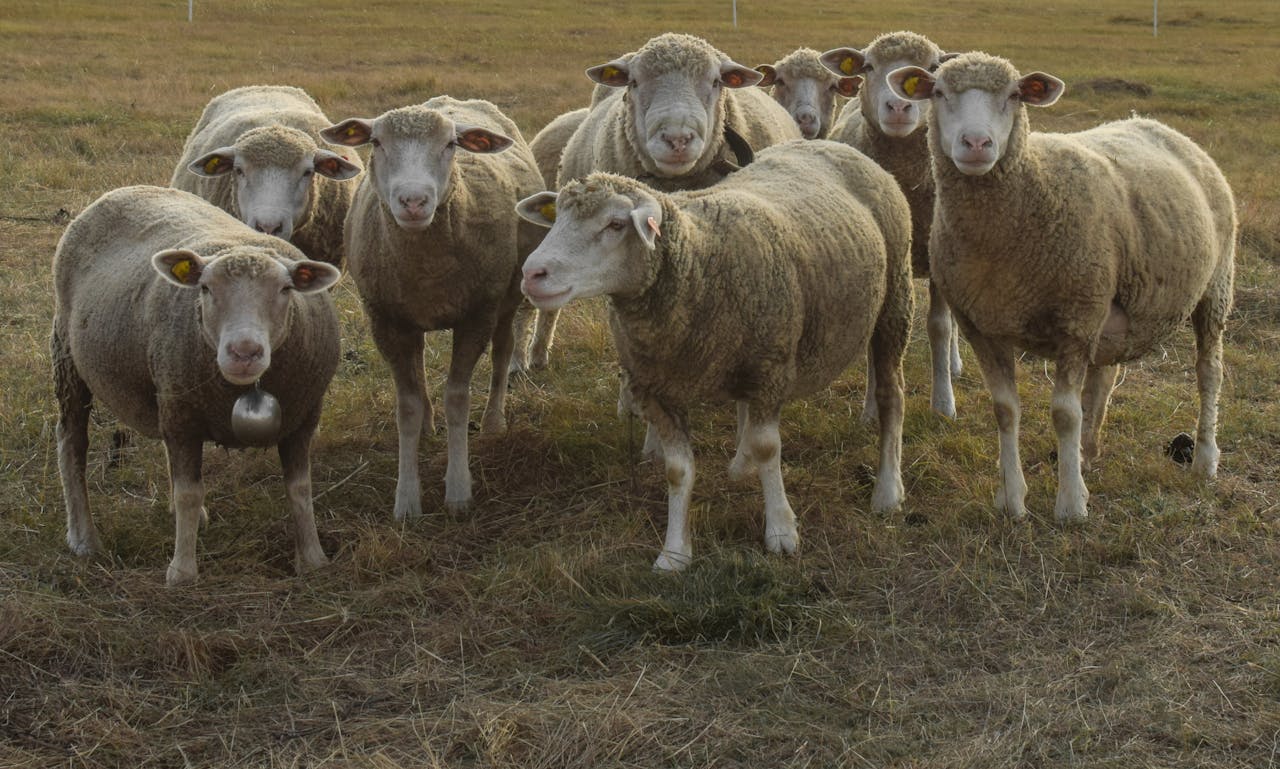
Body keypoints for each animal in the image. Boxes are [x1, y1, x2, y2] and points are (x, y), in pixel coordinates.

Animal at [52, 185, 342, 586]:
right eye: (204, 288)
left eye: (286, 289)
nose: (244, 352)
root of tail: (124, 189)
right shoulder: (183, 418)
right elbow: (189, 492)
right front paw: (182, 572)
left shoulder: (302, 417)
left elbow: (300, 488)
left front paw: (313, 559)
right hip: (69, 360)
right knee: (72, 444)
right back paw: (83, 537)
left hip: (165, 391)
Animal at [320, 96, 544, 518]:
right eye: (376, 142)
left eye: (451, 144)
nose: (413, 201)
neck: (425, 272)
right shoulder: (384, 319)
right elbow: (405, 407)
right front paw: (407, 500)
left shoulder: (477, 314)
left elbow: (457, 398)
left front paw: (458, 491)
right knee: (420, 359)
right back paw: (427, 422)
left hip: (505, 297)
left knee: (503, 351)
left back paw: (494, 420)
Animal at [516, 139, 914, 570]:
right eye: (557, 218)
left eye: (616, 225)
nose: (532, 274)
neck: (697, 257)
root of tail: (830, 143)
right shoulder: (656, 389)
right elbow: (678, 471)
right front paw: (674, 552)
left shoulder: (769, 370)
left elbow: (769, 447)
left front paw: (781, 531)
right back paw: (742, 465)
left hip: (894, 299)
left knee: (892, 395)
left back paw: (887, 491)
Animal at [820, 32, 962, 419]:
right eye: (868, 67)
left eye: (932, 68)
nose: (898, 107)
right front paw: (871, 410)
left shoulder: (937, 253)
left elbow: (940, 327)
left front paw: (943, 402)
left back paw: (954, 363)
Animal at [885, 52, 1236, 522]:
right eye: (938, 92)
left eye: (1014, 95)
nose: (976, 144)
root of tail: (1157, 126)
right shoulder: (983, 326)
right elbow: (1005, 410)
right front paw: (1012, 498)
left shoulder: (1075, 321)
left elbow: (1064, 414)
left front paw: (1070, 504)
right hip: (1108, 306)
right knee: (1105, 377)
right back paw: (1087, 452)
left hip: (1214, 287)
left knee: (1208, 371)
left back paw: (1205, 459)